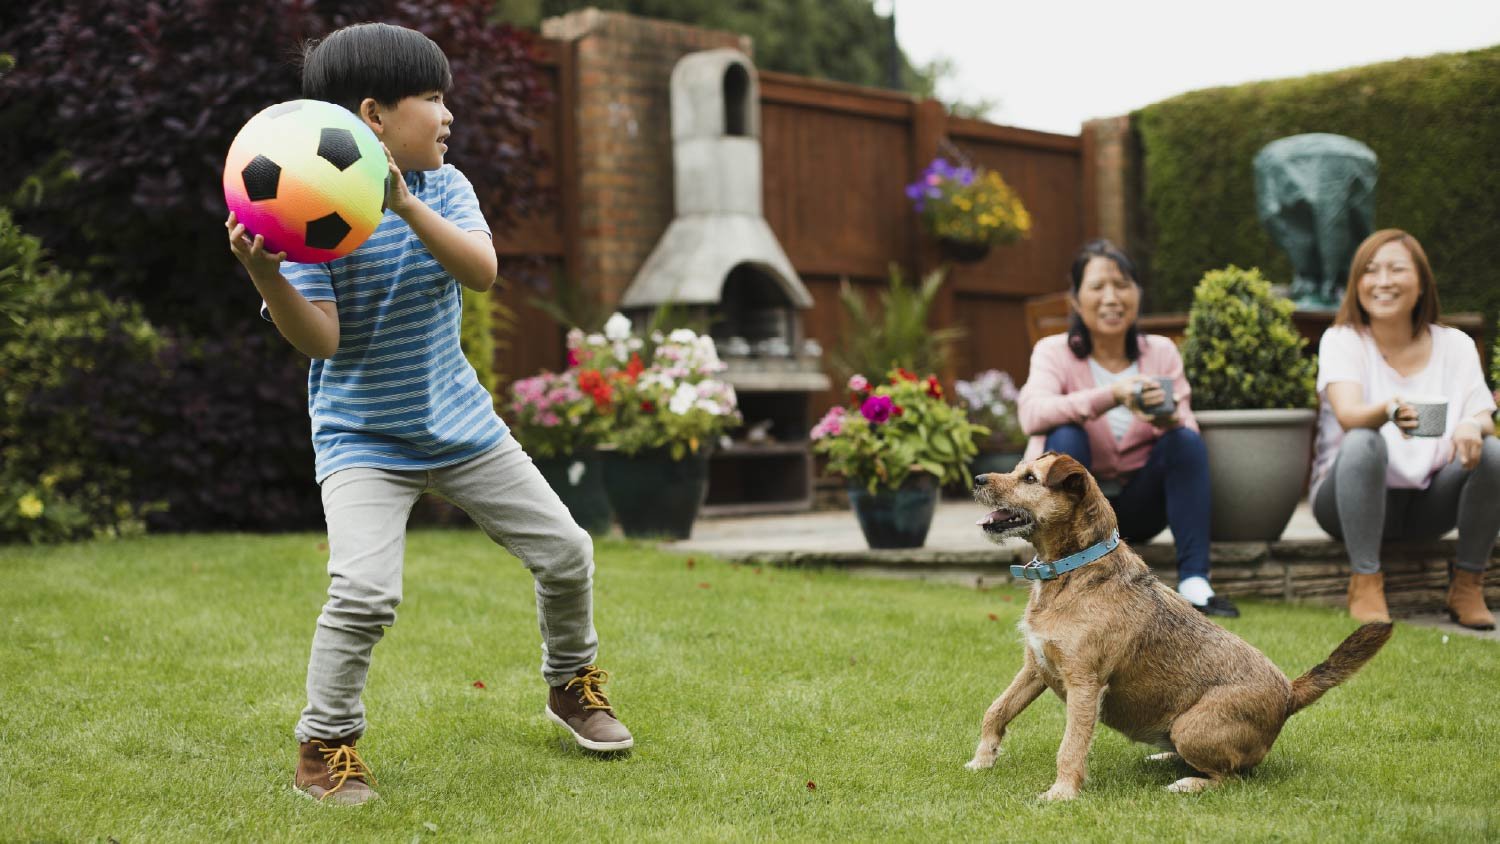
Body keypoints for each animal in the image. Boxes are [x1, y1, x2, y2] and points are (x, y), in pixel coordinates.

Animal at [966, 452, 1386, 803]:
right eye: (1017, 469)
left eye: (1030, 478)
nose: (977, 477)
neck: (1075, 570)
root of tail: (1289, 694)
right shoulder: (1034, 667)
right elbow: (996, 710)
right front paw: (982, 760)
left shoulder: (1084, 685)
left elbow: (1070, 746)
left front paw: (1062, 793)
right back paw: (1165, 758)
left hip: (1192, 727)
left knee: (1233, 778)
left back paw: (1188, 783)